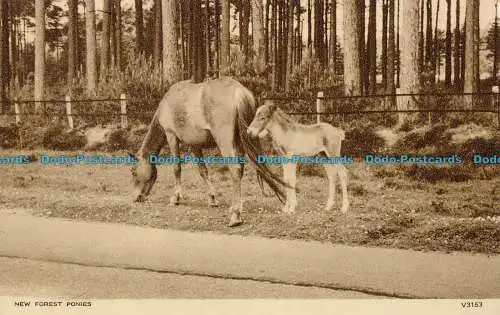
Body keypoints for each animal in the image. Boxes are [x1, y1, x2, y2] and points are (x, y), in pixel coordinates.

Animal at [129, 78, 290, 228]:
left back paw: (235, 215)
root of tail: (240, 92)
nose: (136, 197)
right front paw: (212, 199)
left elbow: (176, 168)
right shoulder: (194, 144)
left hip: (225, 141)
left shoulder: (171, 136)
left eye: (133, 172)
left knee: (235, 169)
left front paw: (176, 198)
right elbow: (203, 170)